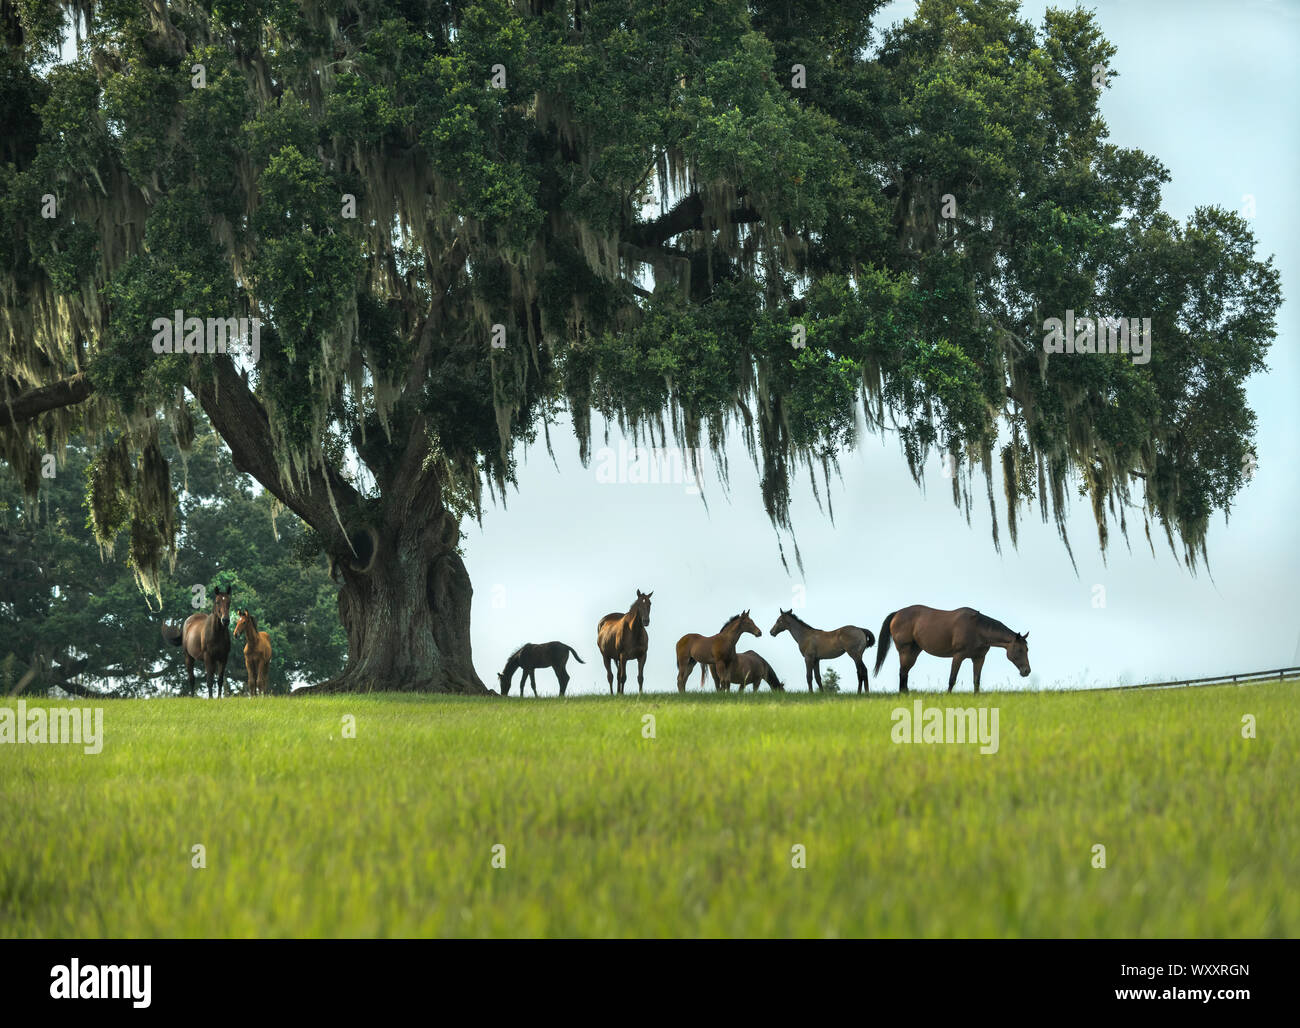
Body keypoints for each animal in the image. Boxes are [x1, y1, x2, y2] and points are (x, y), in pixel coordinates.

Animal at [874, 605, 1030, 693]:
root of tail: (897, 613)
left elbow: (976, 680)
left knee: (905, 672)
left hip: (914, 651)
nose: (1026, 671)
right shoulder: (958, 656)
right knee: (902, 672)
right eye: (1019, 650)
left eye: (1027, 649)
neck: (977, 629)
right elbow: (952, 679)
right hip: (905, 651)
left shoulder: (979, 658)